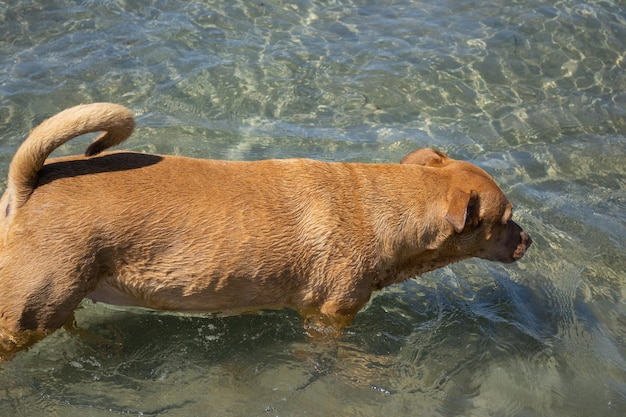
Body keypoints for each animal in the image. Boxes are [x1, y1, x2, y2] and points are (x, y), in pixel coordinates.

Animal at [0, 103, 528, 358]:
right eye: (504, 220)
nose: (527, 239)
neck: (379, 205)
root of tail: (32, 182)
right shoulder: (330, 317)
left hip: (63, 293)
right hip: (29, 311)